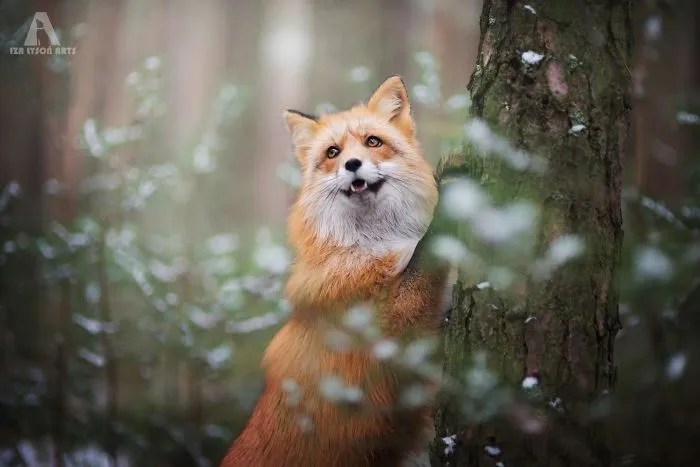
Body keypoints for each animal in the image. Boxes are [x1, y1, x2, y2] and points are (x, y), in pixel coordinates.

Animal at [219, 76, 451, 467]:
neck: (371, 247)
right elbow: (426, 253)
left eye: (373, 141)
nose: (352, 164)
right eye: (332, 153)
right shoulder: (391, 331)